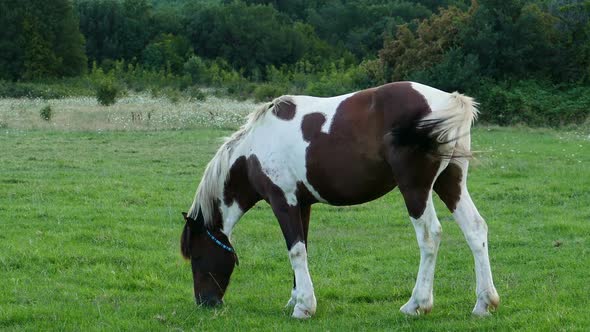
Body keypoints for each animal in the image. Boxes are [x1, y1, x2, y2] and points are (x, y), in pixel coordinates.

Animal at [179, 81, 500, 320]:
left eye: (197, 256)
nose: (205, 302)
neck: (254, 149)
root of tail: (448, 101)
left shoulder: (283, 202)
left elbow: (295, 251)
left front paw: (304, 307)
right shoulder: (302, 204)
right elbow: (303, 247)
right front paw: (296, 299)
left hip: (415, 189)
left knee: (430, 236)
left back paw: (416, 304)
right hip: (451, 183)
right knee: (475, 230)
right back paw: (484, 303)